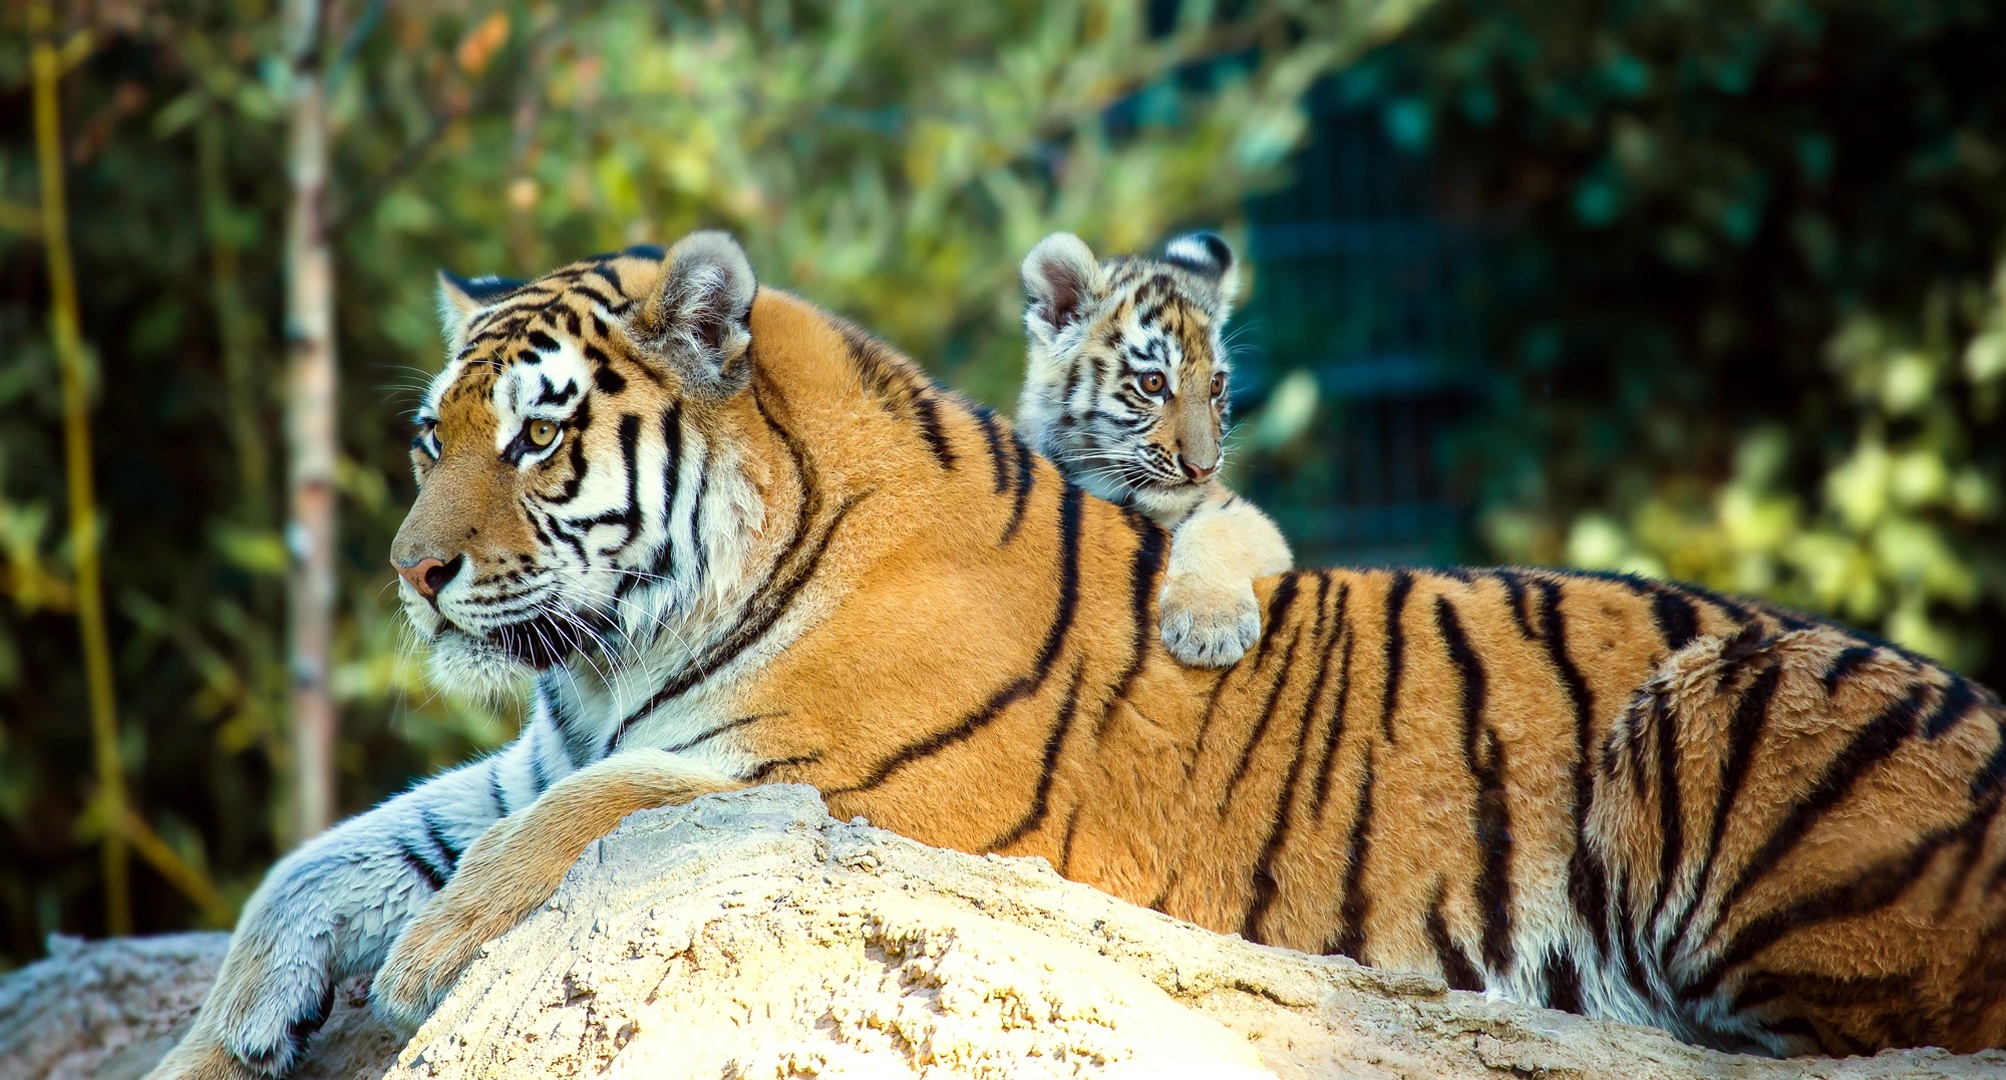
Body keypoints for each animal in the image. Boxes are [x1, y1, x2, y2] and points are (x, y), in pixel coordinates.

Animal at [152, 230, 2006, 1067]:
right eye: (427, 439)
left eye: (534, 440)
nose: (411, 573)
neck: (610, 654)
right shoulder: (532, 755)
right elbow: (312, 863)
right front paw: (220, 1038)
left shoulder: (826, 786)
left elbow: (574, 824)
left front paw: (426, 963)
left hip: (1727, 707)